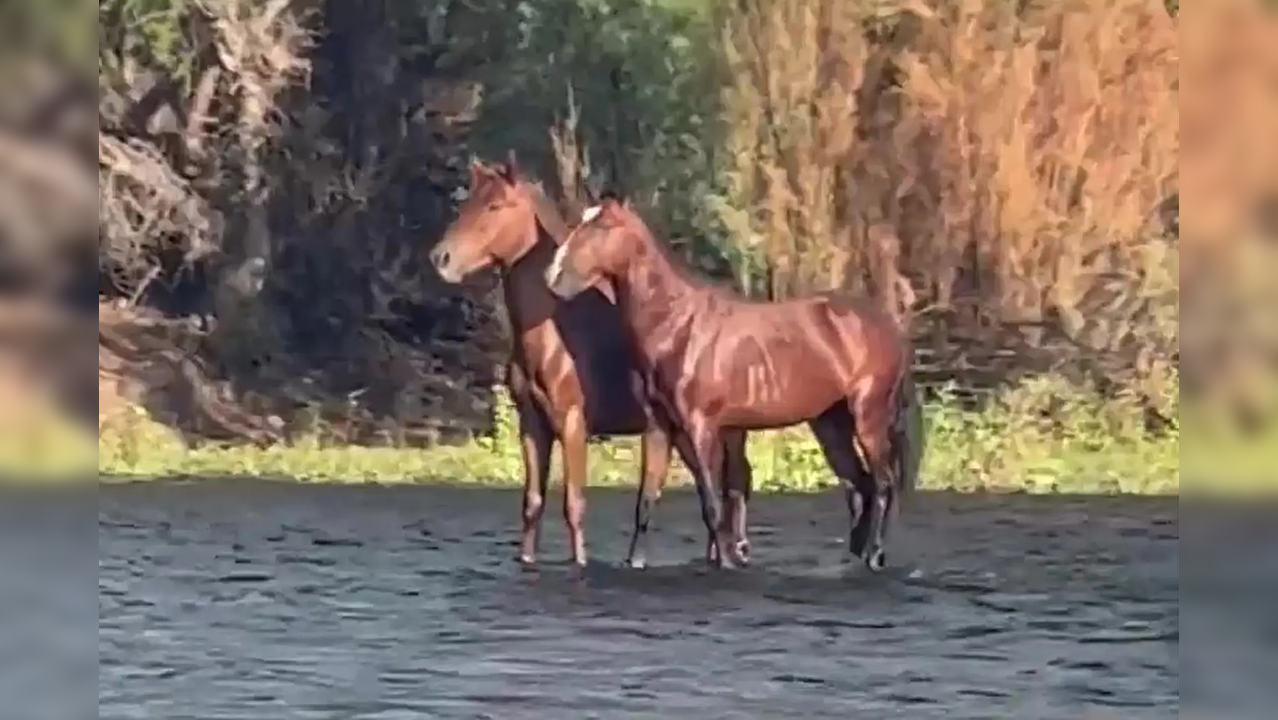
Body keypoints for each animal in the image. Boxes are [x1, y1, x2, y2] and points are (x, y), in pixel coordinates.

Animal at [429, 157, 751, 570]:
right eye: (468, 203)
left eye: (495, 206)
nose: (441, 258)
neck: (558, 328)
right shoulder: (533, 425)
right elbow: (532, 504)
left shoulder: (572, 423)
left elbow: (574, 504)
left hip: (722, 432)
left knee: (733, 489)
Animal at [544, 194, 925, 572]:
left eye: (603, 226)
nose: (554, 275)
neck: (677, 325)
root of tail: (889, 326)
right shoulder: (658, 427)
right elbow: (647, 499)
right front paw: (634, 561)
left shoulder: (701, 427)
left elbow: (712, 501)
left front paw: (727, 560)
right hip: (831, 424)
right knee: (861, 484)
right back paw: (855, 557)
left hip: (868, 417)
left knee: (883, 483)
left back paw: (875, 554)